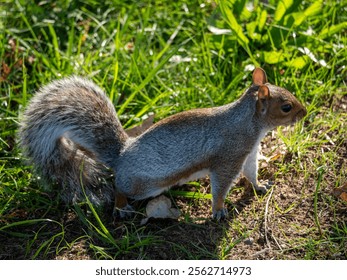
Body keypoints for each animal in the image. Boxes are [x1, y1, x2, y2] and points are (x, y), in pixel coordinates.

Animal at [19, 67, 308, 219]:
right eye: (286, 106)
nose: (304, 112)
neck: (248, 123)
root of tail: (121, 156)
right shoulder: (228, 157)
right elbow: (221, 186)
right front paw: (218, 210)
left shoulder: (247, 153)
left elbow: (251, 173)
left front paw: (260, 185)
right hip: (144, 185)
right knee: (120, 187)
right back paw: (122, 207)